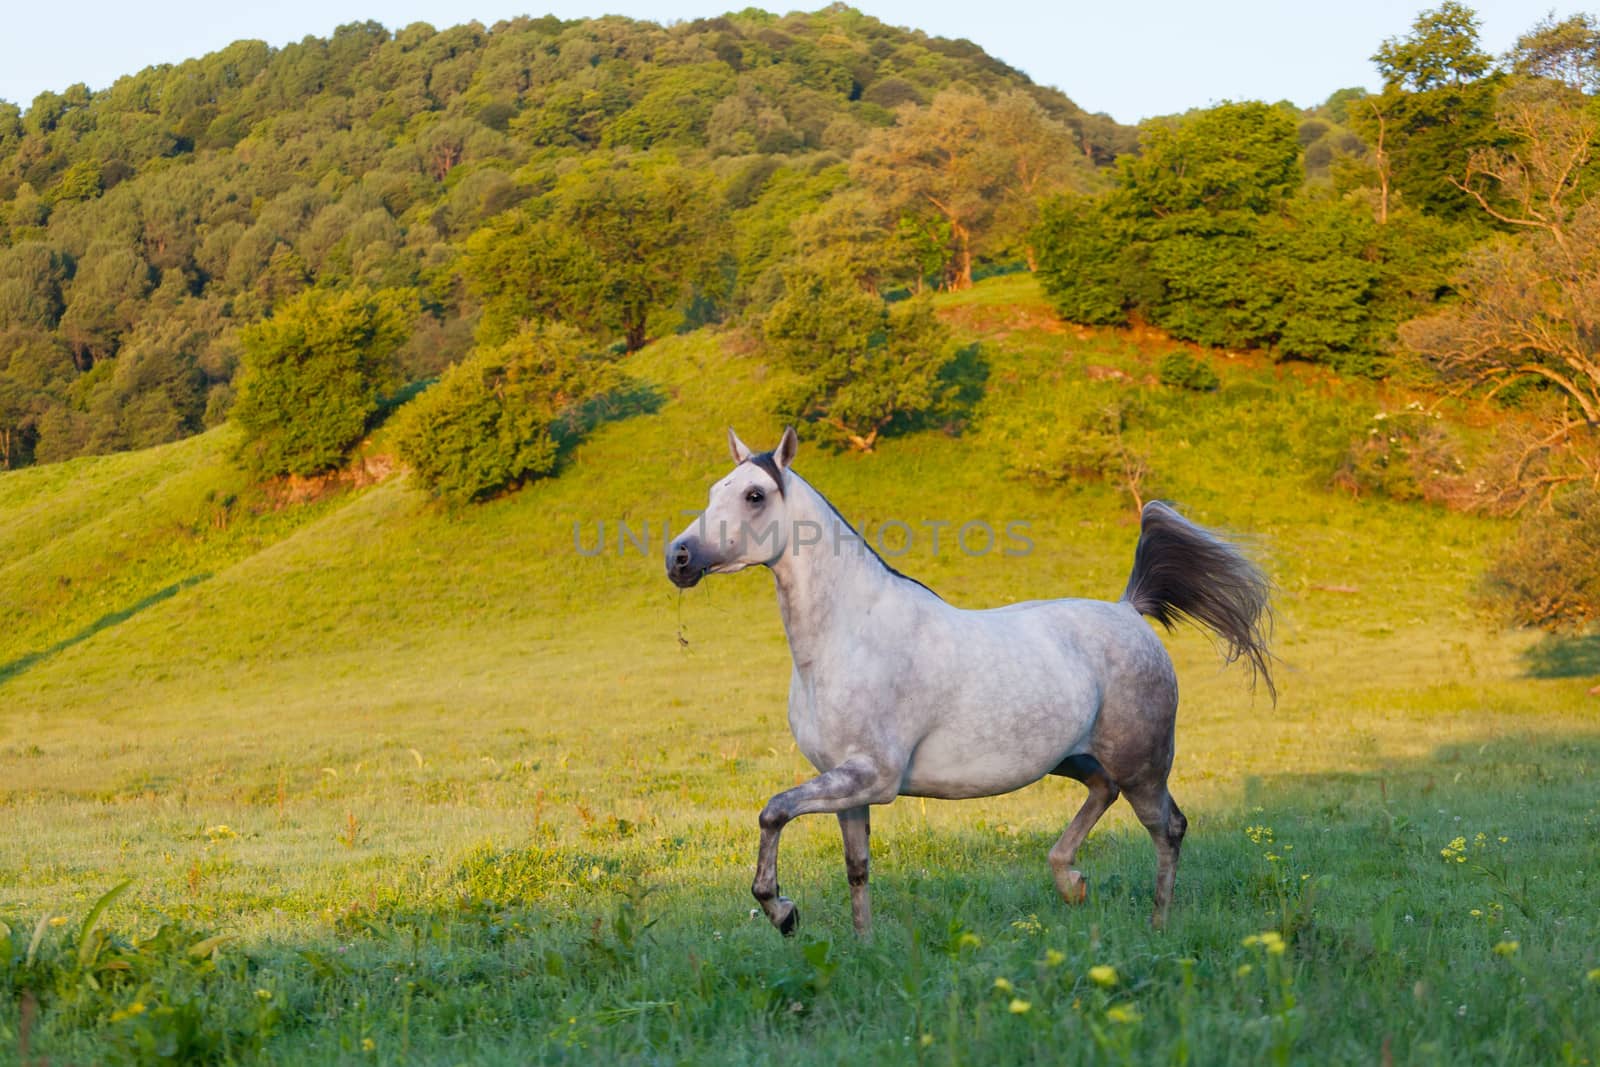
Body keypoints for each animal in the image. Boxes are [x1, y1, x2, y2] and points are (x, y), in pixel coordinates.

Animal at [665, 425, 1273, 934]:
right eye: (715, 490)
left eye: (754, 496)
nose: (679, 558)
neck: (847, 635)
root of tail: (1130, 611)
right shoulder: (844, 784)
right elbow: (856, 868)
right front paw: (861, 947)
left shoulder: (873, 777)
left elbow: (773, 811)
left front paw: (783, 912)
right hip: (1073, 758)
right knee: (1104, 792)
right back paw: (1070, 882)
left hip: (1143, 765)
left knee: (1168, 828)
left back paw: (1157, 925)